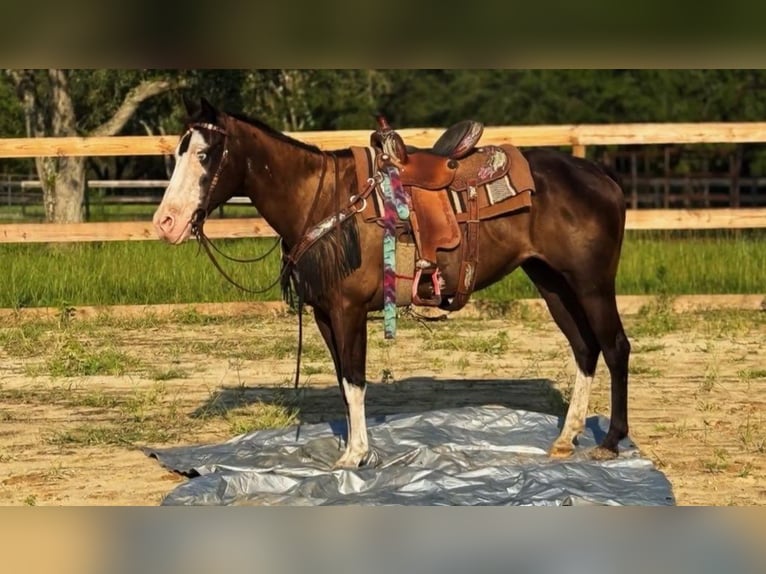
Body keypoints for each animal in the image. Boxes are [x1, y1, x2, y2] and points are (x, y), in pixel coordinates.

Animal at [153, 97, 631, 469]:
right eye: (178, 152)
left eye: (204, 155)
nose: (166, 223)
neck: (321, 201)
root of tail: (600, 174)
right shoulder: (325, 314)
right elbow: (343, 382)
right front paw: (353, 448)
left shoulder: (348, 311)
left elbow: (355, 379)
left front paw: (355, 456)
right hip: (552, 283)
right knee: (585, 349)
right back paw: (566, 439)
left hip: (592, 285)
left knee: (614, 347)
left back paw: (609, 442)